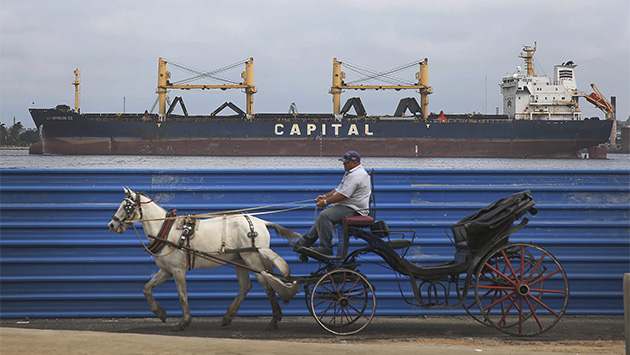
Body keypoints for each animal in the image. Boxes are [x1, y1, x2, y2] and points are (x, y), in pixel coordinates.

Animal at [108, 188, 302, 332]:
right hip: (240, 260)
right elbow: (147, 288)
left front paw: (184, 322)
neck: (166, 231)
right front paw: (160, 313)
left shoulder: (178, 270)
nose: (111, 224)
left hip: (252, 258)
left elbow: (182, 295)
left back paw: (274, 320)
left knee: (268, 285)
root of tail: (261, 222)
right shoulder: (166, 270)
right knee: (245, 286)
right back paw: (228, 316)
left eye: (127, 206)